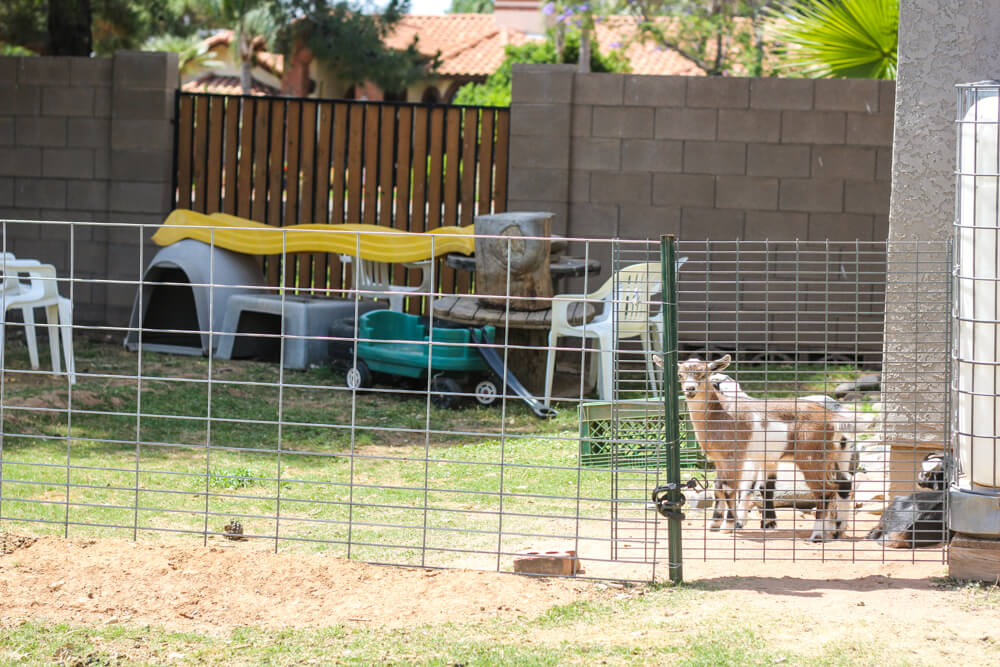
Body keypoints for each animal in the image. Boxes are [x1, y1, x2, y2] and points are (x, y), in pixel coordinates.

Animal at [680, 354, 852, 544]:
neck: (720, 413)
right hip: (832, 458)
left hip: (810, 458)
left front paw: (728, 526)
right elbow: (719, 487)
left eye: (704, 375)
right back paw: (834, 532)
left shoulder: (735, 457)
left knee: (825, 491)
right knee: (841, 486)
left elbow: (730, 488)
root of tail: (832, 419)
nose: (690, 389)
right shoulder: (721, 459)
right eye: (680, 375)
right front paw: (715, 524)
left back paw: (817, 535)